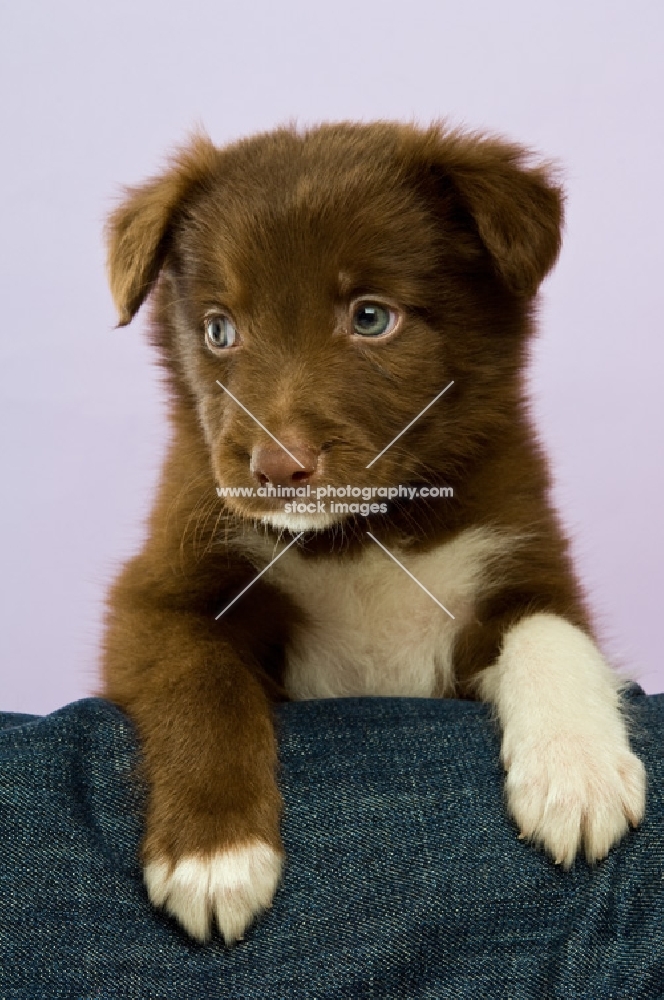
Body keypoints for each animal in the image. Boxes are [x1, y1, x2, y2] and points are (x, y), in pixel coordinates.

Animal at [102, 123, 644, 944]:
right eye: (219, 330)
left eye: (370, 317)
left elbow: (550, 631)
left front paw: (576, 771)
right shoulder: (161, 590)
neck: (363, 535)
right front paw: (215, 854)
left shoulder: (518, 548)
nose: (276, 466)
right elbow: (201, 675)